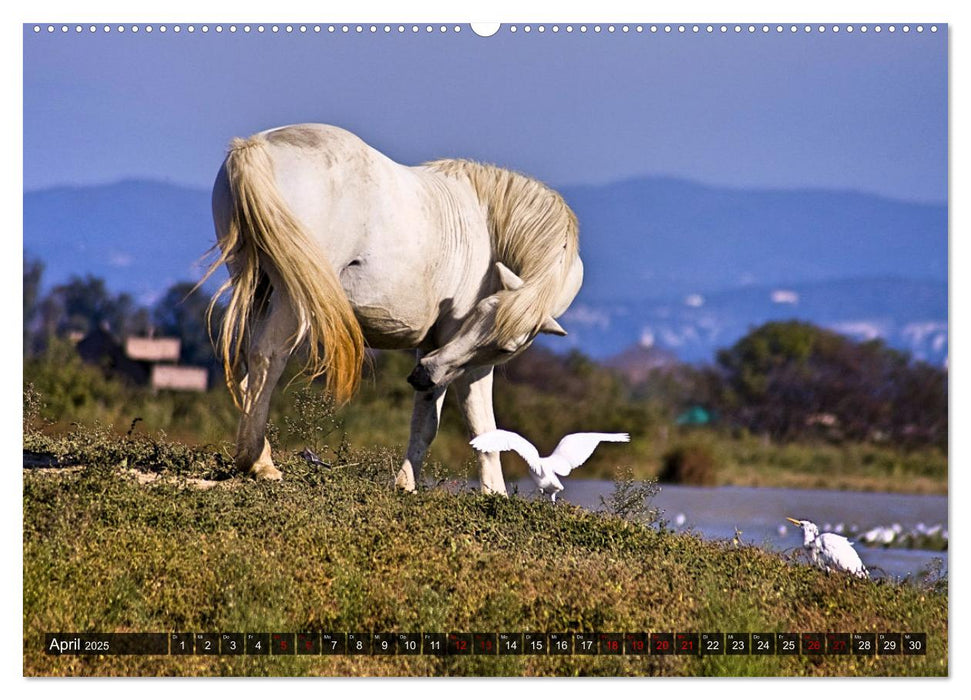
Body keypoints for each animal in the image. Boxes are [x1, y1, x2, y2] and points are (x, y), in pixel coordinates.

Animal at [204, 123, 580, 494]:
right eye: (481, 315)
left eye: (504, 345)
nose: (422, 374)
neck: (490, 227)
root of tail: (256, 146)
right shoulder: (462, 357)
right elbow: (480, 426)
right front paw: (494, 493)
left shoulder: (435, 350)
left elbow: (426, 424)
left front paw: (406, 484)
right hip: (292, 296)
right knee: (267, 357)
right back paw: (259, 463)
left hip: (255, 287)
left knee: (246, 368)